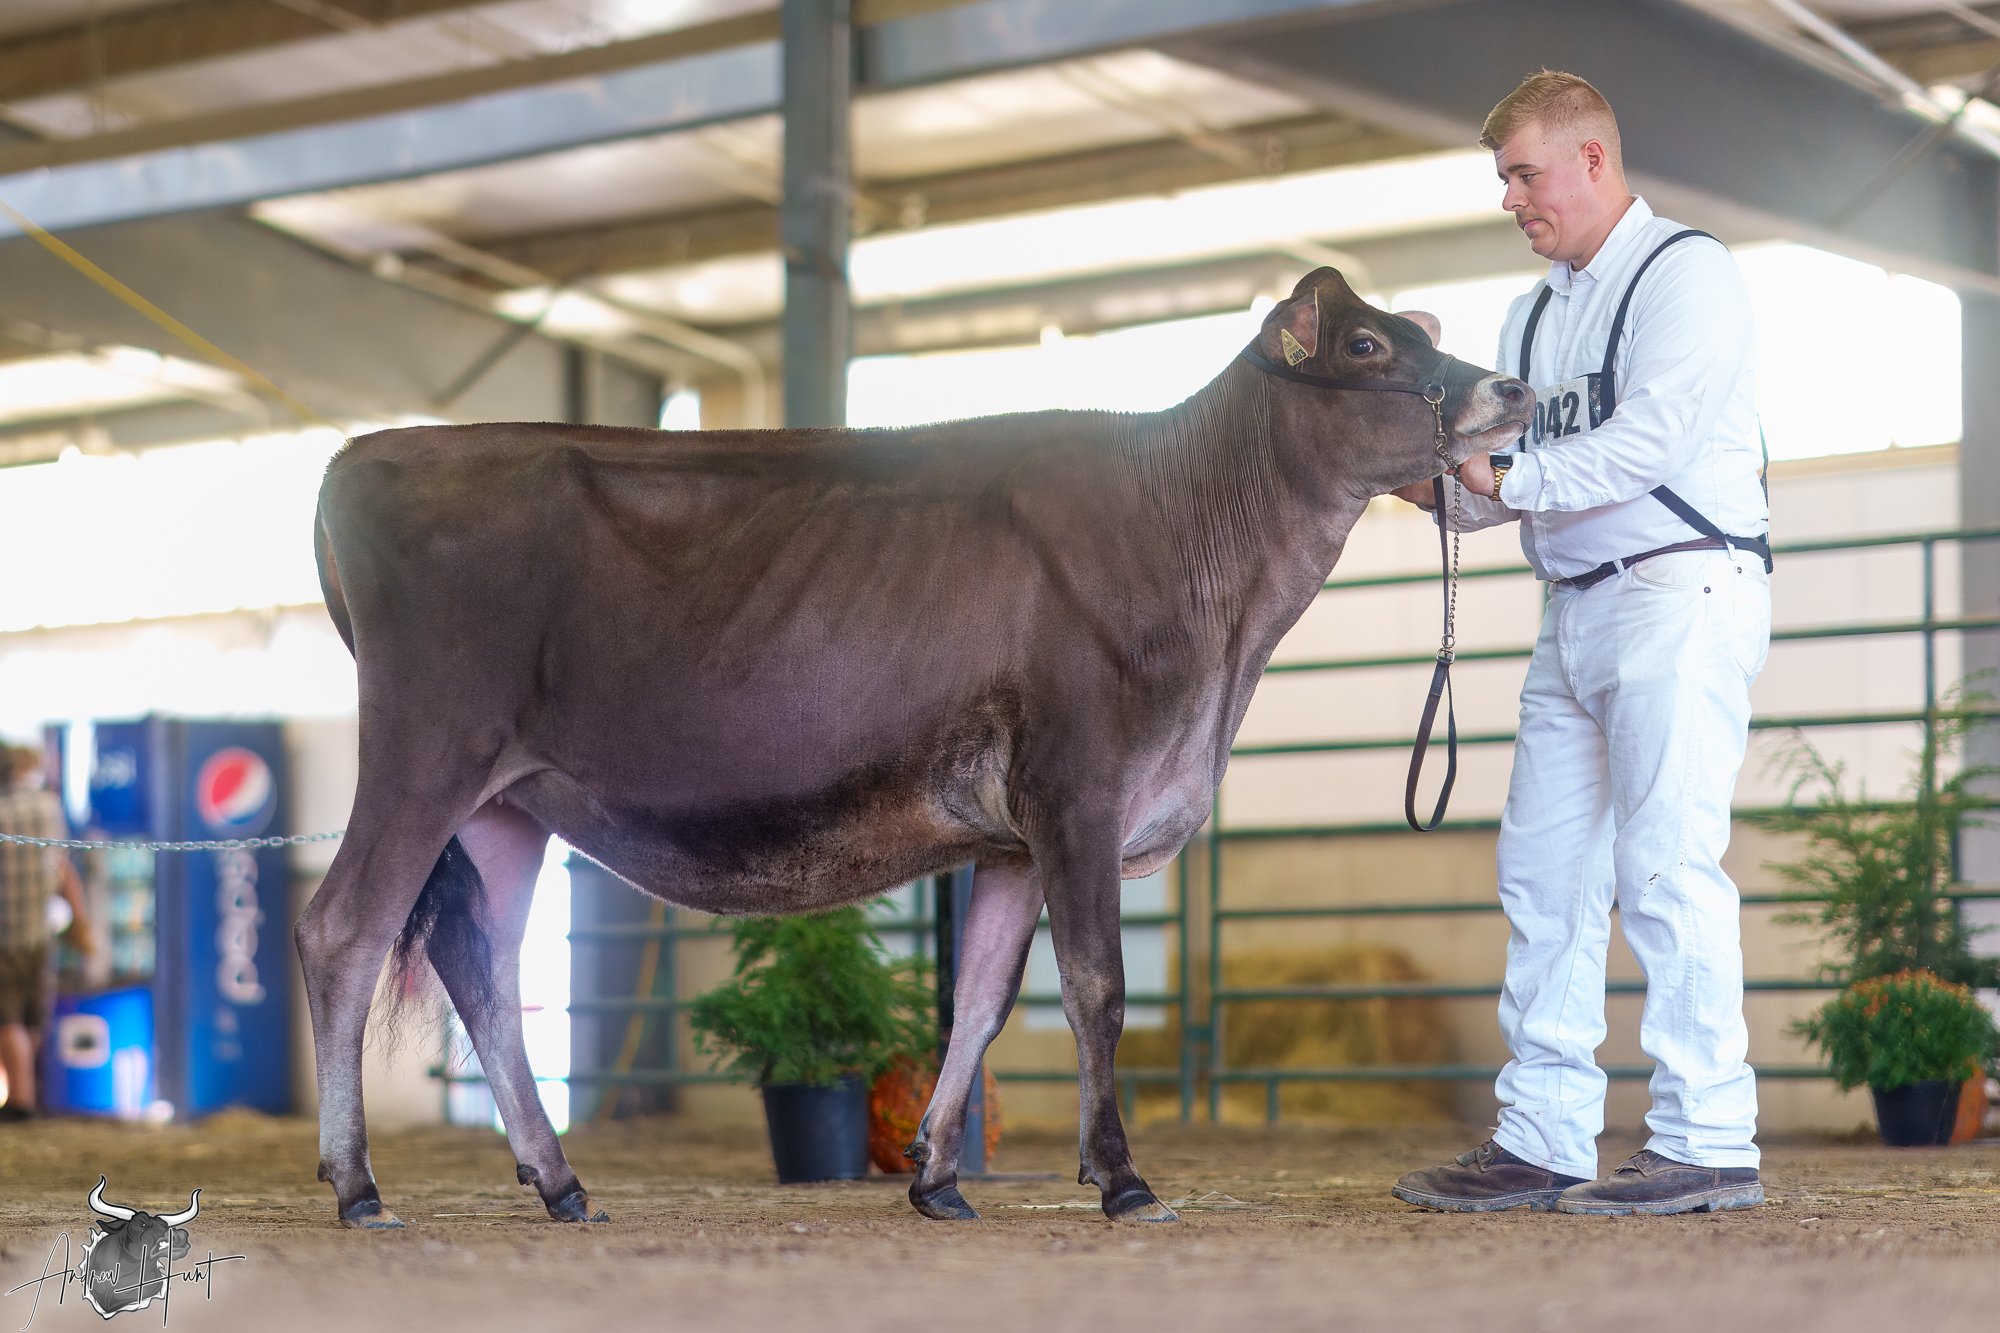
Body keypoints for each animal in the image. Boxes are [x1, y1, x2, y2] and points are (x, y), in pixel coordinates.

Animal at [299, 268, 1532, 1229]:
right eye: (1370, 345)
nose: (1513, 387)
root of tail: (362, 458)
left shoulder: (1015, 839)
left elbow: (982, 997)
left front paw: (937, 1175)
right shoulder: (1079, 790)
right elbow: (1096, 986)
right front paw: (1122, 1179)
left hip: (509, 800)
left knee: (486, 968)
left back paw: (558, 1182)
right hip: (426, 751)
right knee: (343, 929)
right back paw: (358, 1186)